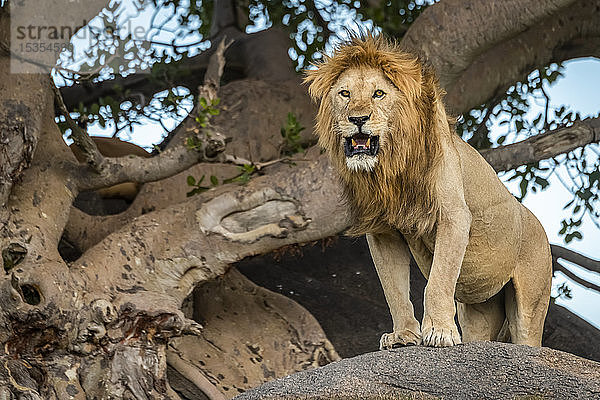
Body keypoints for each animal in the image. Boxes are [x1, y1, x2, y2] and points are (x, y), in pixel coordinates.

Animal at [308, 36, 552, 348]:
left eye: (378, 94)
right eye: (345, 93)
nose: (358, 119)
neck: (390, 167)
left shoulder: (453, 216)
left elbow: (438, 280)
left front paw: (439, 331)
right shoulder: (383, 233)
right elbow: (394, 289)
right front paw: (403, 336)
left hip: (531, 303)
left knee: (527, 336)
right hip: (479, 309)